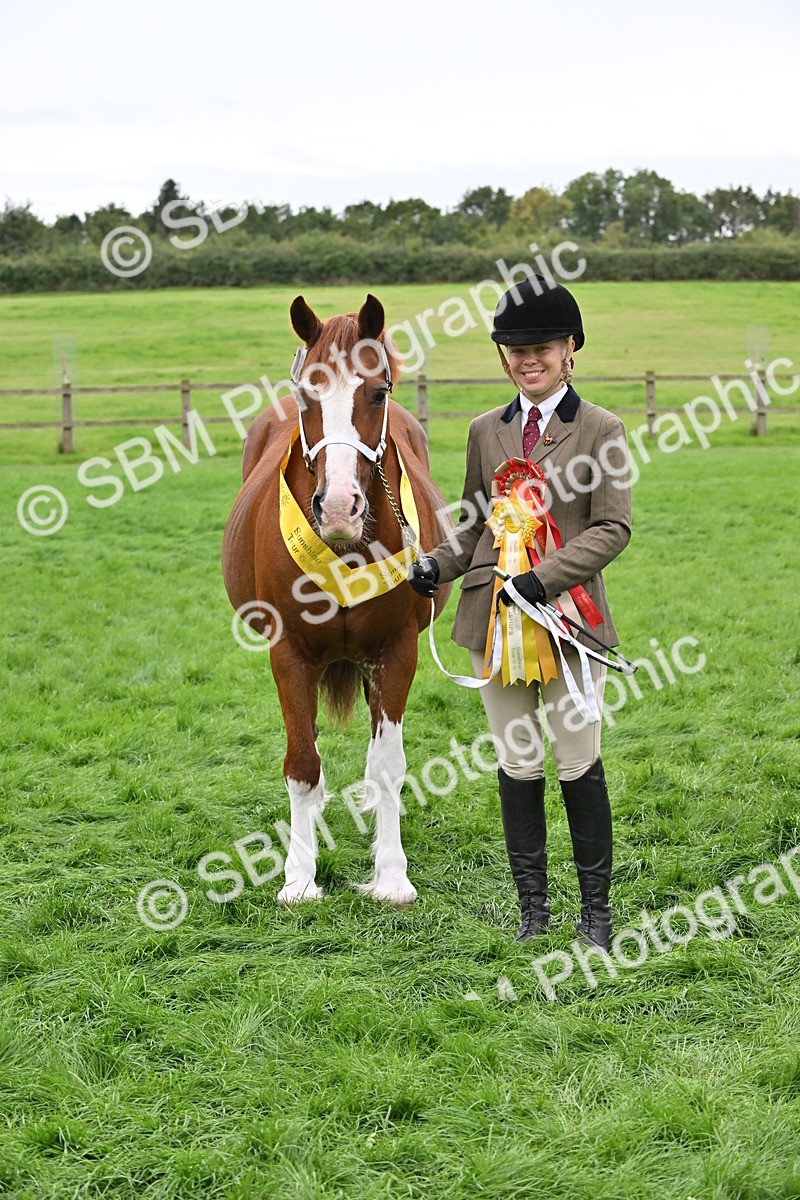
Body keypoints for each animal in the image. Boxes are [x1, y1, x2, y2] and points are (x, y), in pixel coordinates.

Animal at [221, 294, 453, 906]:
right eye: (309, 393)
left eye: (378, 391)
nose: (339, 507)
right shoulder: (289, 655)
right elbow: (303, 763)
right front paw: (299, 877)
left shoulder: (396, 652)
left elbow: (389, 764)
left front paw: (390, 874)